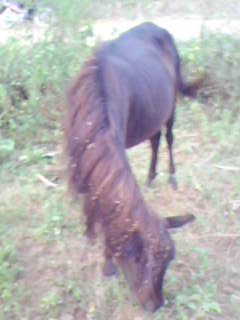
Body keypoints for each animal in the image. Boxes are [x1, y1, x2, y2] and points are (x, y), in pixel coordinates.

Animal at [65, 23, 197, 312]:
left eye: (167, 263)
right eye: (137, 258)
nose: (156, 305)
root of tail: (158, 28)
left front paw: (107, 264)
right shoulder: (81, 165)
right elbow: (93, 200)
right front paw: (90, 235)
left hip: (171, 105)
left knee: (169, 137)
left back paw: (172, 177)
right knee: (156, 139)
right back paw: (150, 177)